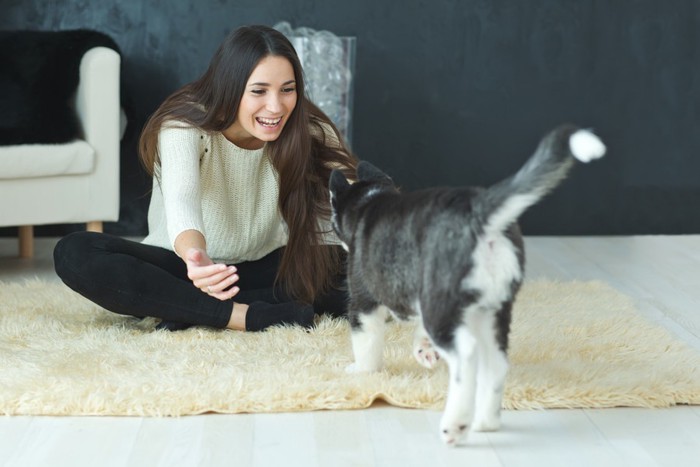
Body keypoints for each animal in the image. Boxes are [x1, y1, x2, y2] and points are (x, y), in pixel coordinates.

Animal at [330, 123, 608, 446]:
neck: (369, 202)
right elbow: (418, 329)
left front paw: (362, 371)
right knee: (497, 363)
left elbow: (366, 341)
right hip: (492, 307)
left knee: (467, 354)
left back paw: (456, 424)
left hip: (445, 301)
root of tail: (478, 209)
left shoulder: (365, 300)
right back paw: (486, 423)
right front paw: (424, 350)